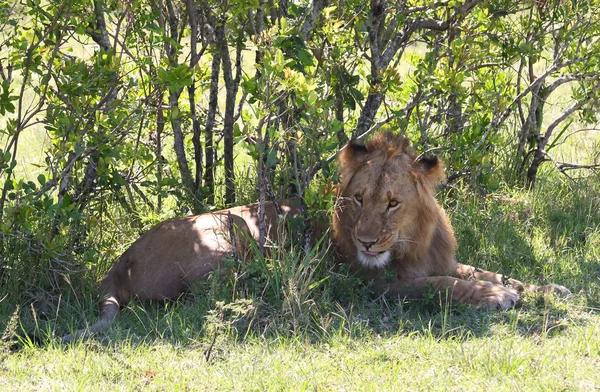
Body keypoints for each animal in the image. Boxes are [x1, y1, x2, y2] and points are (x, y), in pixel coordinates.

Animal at [62, 131, 572, 340]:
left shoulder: (441, 259)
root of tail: (119, 261)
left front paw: (550, 289)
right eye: (359, 199)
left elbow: (494, 271)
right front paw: (495, 297)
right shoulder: (376, 284)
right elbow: (446, 286)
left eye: (392, 203)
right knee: (207, 297)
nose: (366, 243)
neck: (412, 243)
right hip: (226, 231)